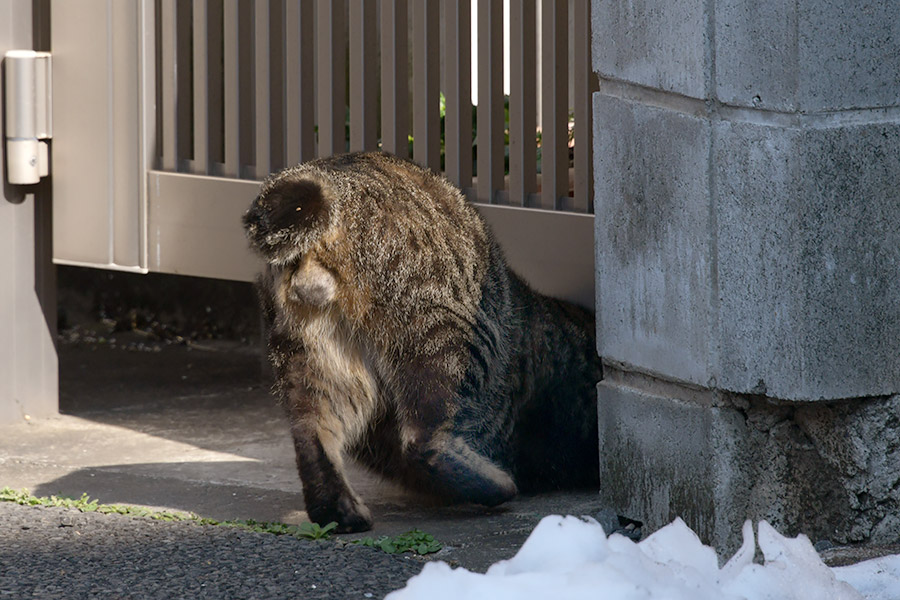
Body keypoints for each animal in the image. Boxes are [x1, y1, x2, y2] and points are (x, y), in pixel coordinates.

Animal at [243, 152, 600, 532]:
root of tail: (328, 178)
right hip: (441, 332)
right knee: (422, 439)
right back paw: (494, 483)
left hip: (315, 357)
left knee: (311, 433)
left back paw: (339, 509)